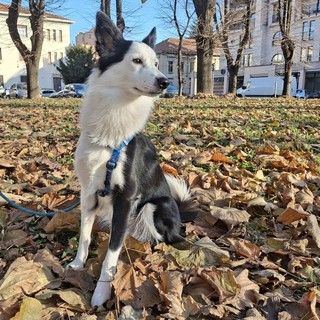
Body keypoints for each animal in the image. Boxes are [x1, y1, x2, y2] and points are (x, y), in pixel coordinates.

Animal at [67, 11, 198, 308]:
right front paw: (79, 263)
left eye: (157, 63)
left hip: (153, 207)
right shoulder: (88, 193)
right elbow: (84, 235)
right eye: (136, 61)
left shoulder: (126, 199)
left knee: (168, 238)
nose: (165, 82)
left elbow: (111, 255)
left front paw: (101, 293)